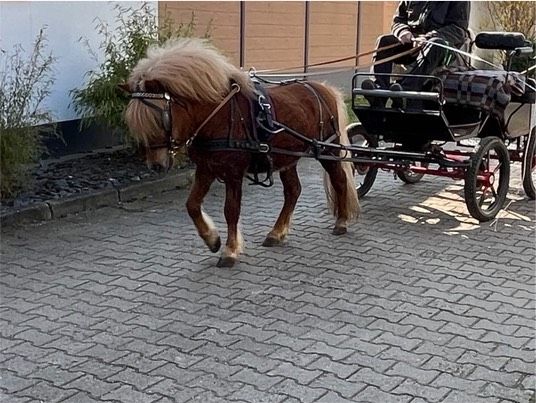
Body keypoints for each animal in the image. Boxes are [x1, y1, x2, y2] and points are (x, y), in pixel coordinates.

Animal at [123, 39, 358, 268]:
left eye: (160, 118)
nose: (156, 165)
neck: (218, 115)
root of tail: (323, 89)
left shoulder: (233, 173)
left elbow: (231, 210)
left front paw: (229, 250)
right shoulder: (206, 169)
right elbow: (192, 205)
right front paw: (212, 239)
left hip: (328, 150)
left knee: (339, 180)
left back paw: (341, 221)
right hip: (287, 157)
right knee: (293, 191)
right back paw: (276, 232)